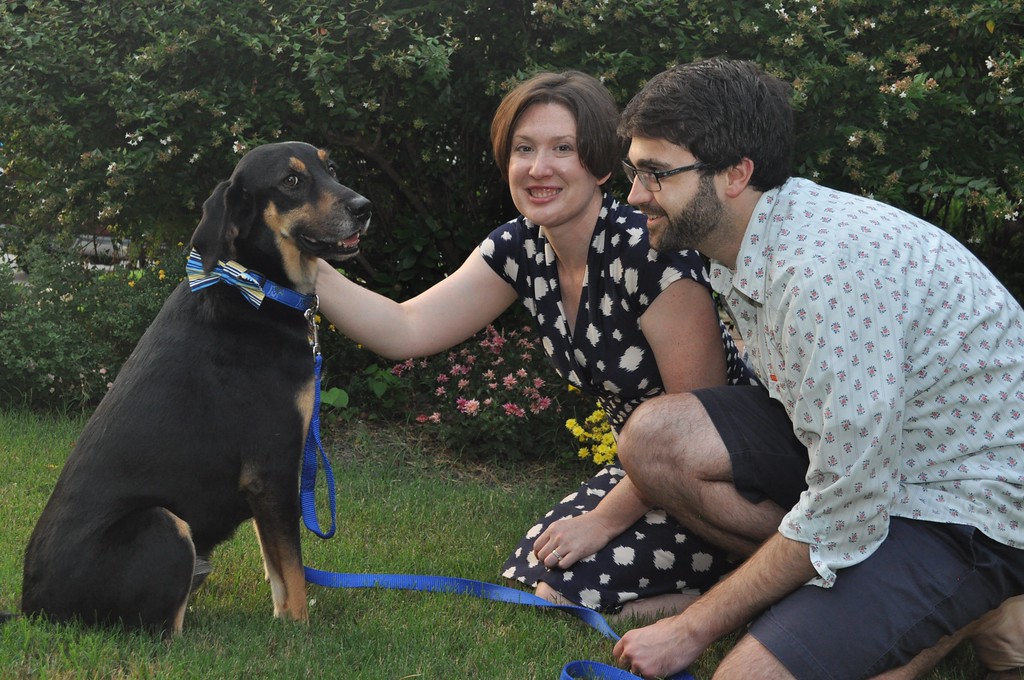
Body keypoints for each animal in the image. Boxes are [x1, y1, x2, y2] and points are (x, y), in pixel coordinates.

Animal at [19, 140, 370, 634]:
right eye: (291, 181)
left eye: (331, 167)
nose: (364, 207)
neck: (256, 285)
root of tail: (32, 609)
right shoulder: (272, 468)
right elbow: (293, 568)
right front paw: (300, 629)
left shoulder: (266, 485)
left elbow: (277, 568)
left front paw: (283, 619)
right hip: (165, 524)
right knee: (164, 630)